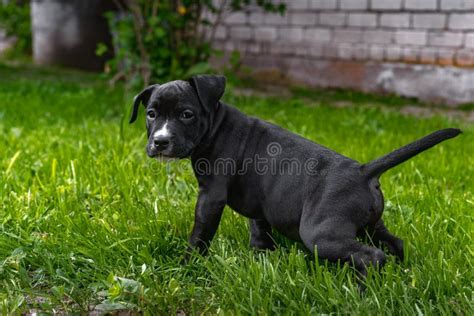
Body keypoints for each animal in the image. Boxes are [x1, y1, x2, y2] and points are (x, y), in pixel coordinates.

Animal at [130, 75, 460, 276]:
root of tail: (364, 171)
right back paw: (402, 274)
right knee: (395, 244)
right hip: (370, 224)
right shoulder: (259, 200)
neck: (215, 125)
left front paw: (188, 265)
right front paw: (262, 256)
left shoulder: (211, 197)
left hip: (321, 235)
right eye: (151, 114)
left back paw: (363, 294)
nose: (160, 141)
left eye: (186, 114)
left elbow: (201, 233)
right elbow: (258, 227)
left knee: (371, 256)